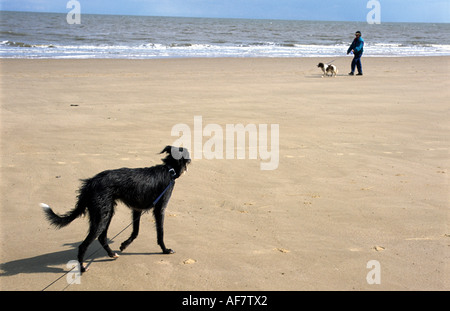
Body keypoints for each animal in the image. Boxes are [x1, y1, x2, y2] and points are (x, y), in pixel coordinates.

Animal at [41, 146, 191, 272]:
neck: (169, 169)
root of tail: (90, 183)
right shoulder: (160, 209)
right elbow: (160, 233)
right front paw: (165, 250)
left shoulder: (137, 209)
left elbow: (135, 231)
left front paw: (124, 245)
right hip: (103, 216)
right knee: (84, 245)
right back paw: (83, 268)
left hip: (105, 213)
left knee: (102, 237)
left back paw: (112, 254)